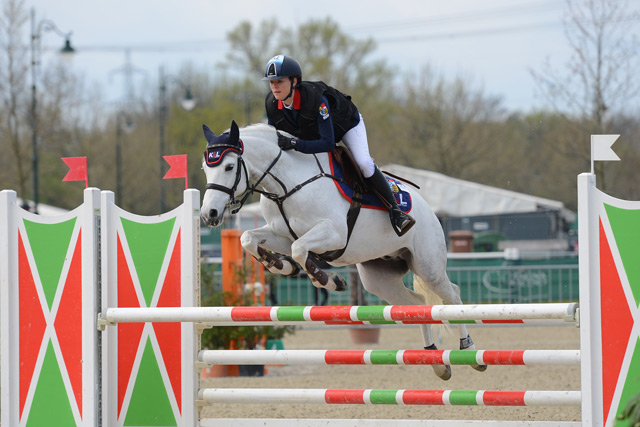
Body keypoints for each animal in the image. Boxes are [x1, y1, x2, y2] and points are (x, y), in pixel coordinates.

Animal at [200, 120, 484, 382]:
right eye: (205, 168)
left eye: (229, 166)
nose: (209, 215)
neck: (287, 184)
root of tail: (429, 211)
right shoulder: (280, 234)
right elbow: (248, 238)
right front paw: (280, 265)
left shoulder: (334, 234)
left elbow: (300, 249)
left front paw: (328, 279)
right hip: (378, 279)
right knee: (418, 303)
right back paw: (436, 360)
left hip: (428, 266)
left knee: (452, 295)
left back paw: (469, 350)